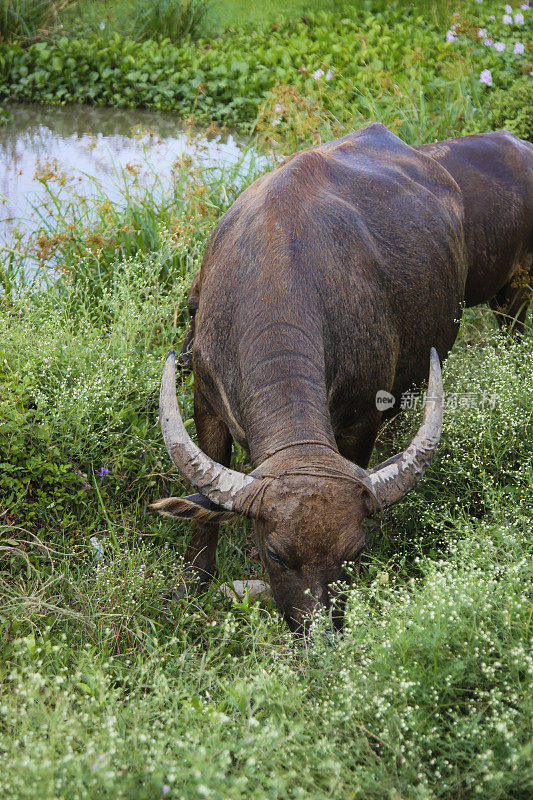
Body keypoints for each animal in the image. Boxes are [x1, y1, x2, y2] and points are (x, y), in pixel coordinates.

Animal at [149, 120, 512, 632]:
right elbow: (204, 501)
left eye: (355, 551)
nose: (318, 634)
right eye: (275, 554)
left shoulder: (362, 418)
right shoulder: (205, 401)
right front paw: (191, 583)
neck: (276, 282)